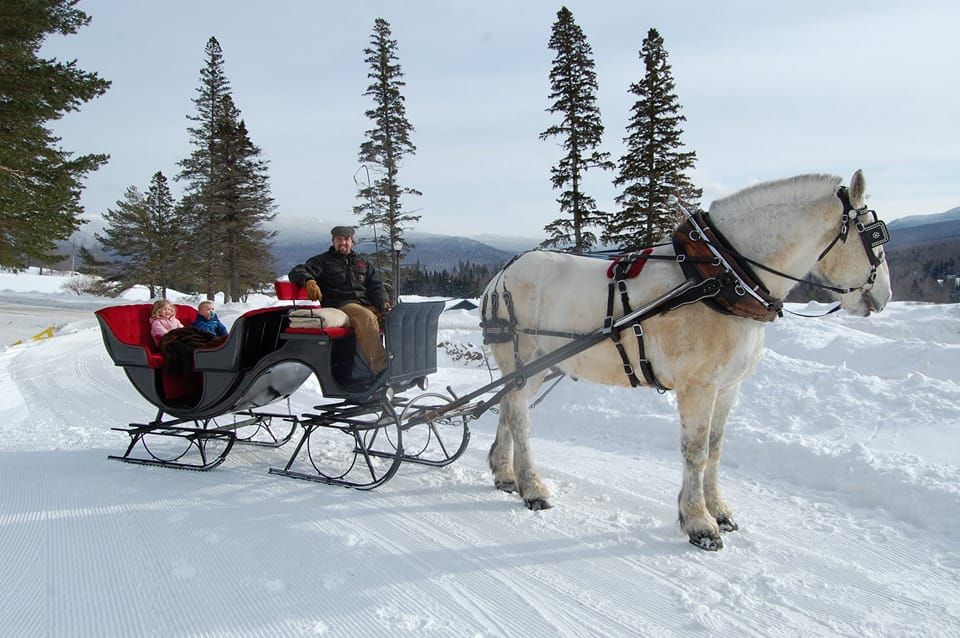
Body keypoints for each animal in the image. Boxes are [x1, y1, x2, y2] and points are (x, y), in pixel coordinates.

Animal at [480, 170, 892, 552]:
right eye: (875, 235)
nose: (884, 296)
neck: (723, 276)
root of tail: (500, 276)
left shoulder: (728, 387)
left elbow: (716, 448)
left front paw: (719, 511)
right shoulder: (698, 386)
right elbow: (696, 452)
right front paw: (699, 523)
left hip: (535, 369)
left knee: (508, 407)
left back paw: (505, 474)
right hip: (522, 360)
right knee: (520, 418)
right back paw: (532, 488)